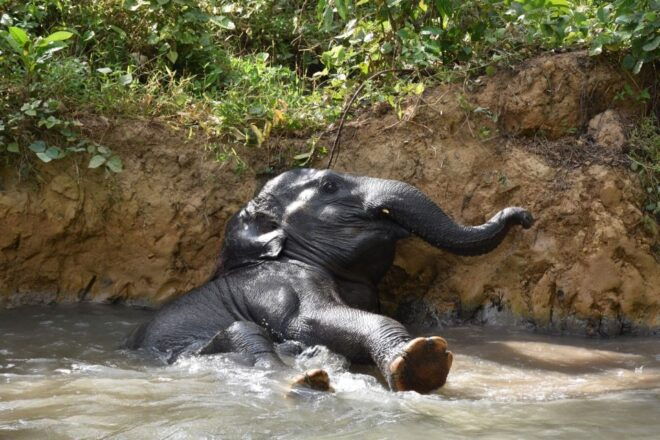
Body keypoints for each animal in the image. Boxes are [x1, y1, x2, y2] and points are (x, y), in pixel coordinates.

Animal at [125, 168, 533, 393]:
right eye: (329, 187)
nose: (524, 216)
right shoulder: (280, 284)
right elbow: (309, 321)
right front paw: (422, 360)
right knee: (246, 331)